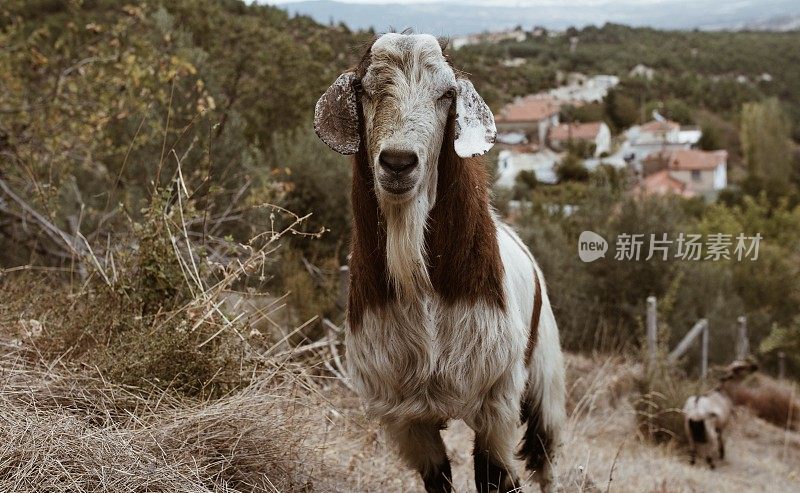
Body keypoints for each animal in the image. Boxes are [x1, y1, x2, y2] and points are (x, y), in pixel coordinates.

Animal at [310, 33, 564, 492]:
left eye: (447, 94)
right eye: (364, 90)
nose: (398, 162)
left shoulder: (496, 404)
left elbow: (496, 479)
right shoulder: (406, 418)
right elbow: (439, 479)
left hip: (545, 379)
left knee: (546, 457)